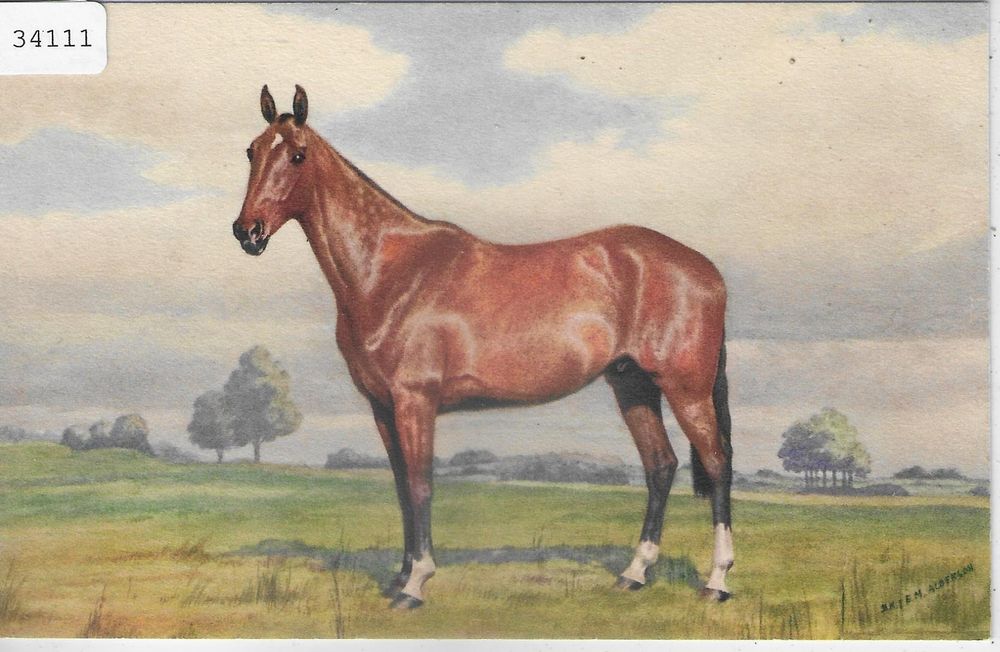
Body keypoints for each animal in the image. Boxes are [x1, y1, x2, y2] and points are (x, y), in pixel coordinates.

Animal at [233, 85, 734, 610]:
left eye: (297, 155)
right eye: (251, 150)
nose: (248, 232)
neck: (391, 272)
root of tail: (706, 269)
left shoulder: (415, 401)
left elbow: (420, 486)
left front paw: (415, 584)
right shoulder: (383, 407)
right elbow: (401, 490)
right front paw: (400, 575)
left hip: (687, 389)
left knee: (717, 465)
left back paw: (717, 581)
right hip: (633, 386)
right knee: (661, 466)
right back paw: (634, 574)